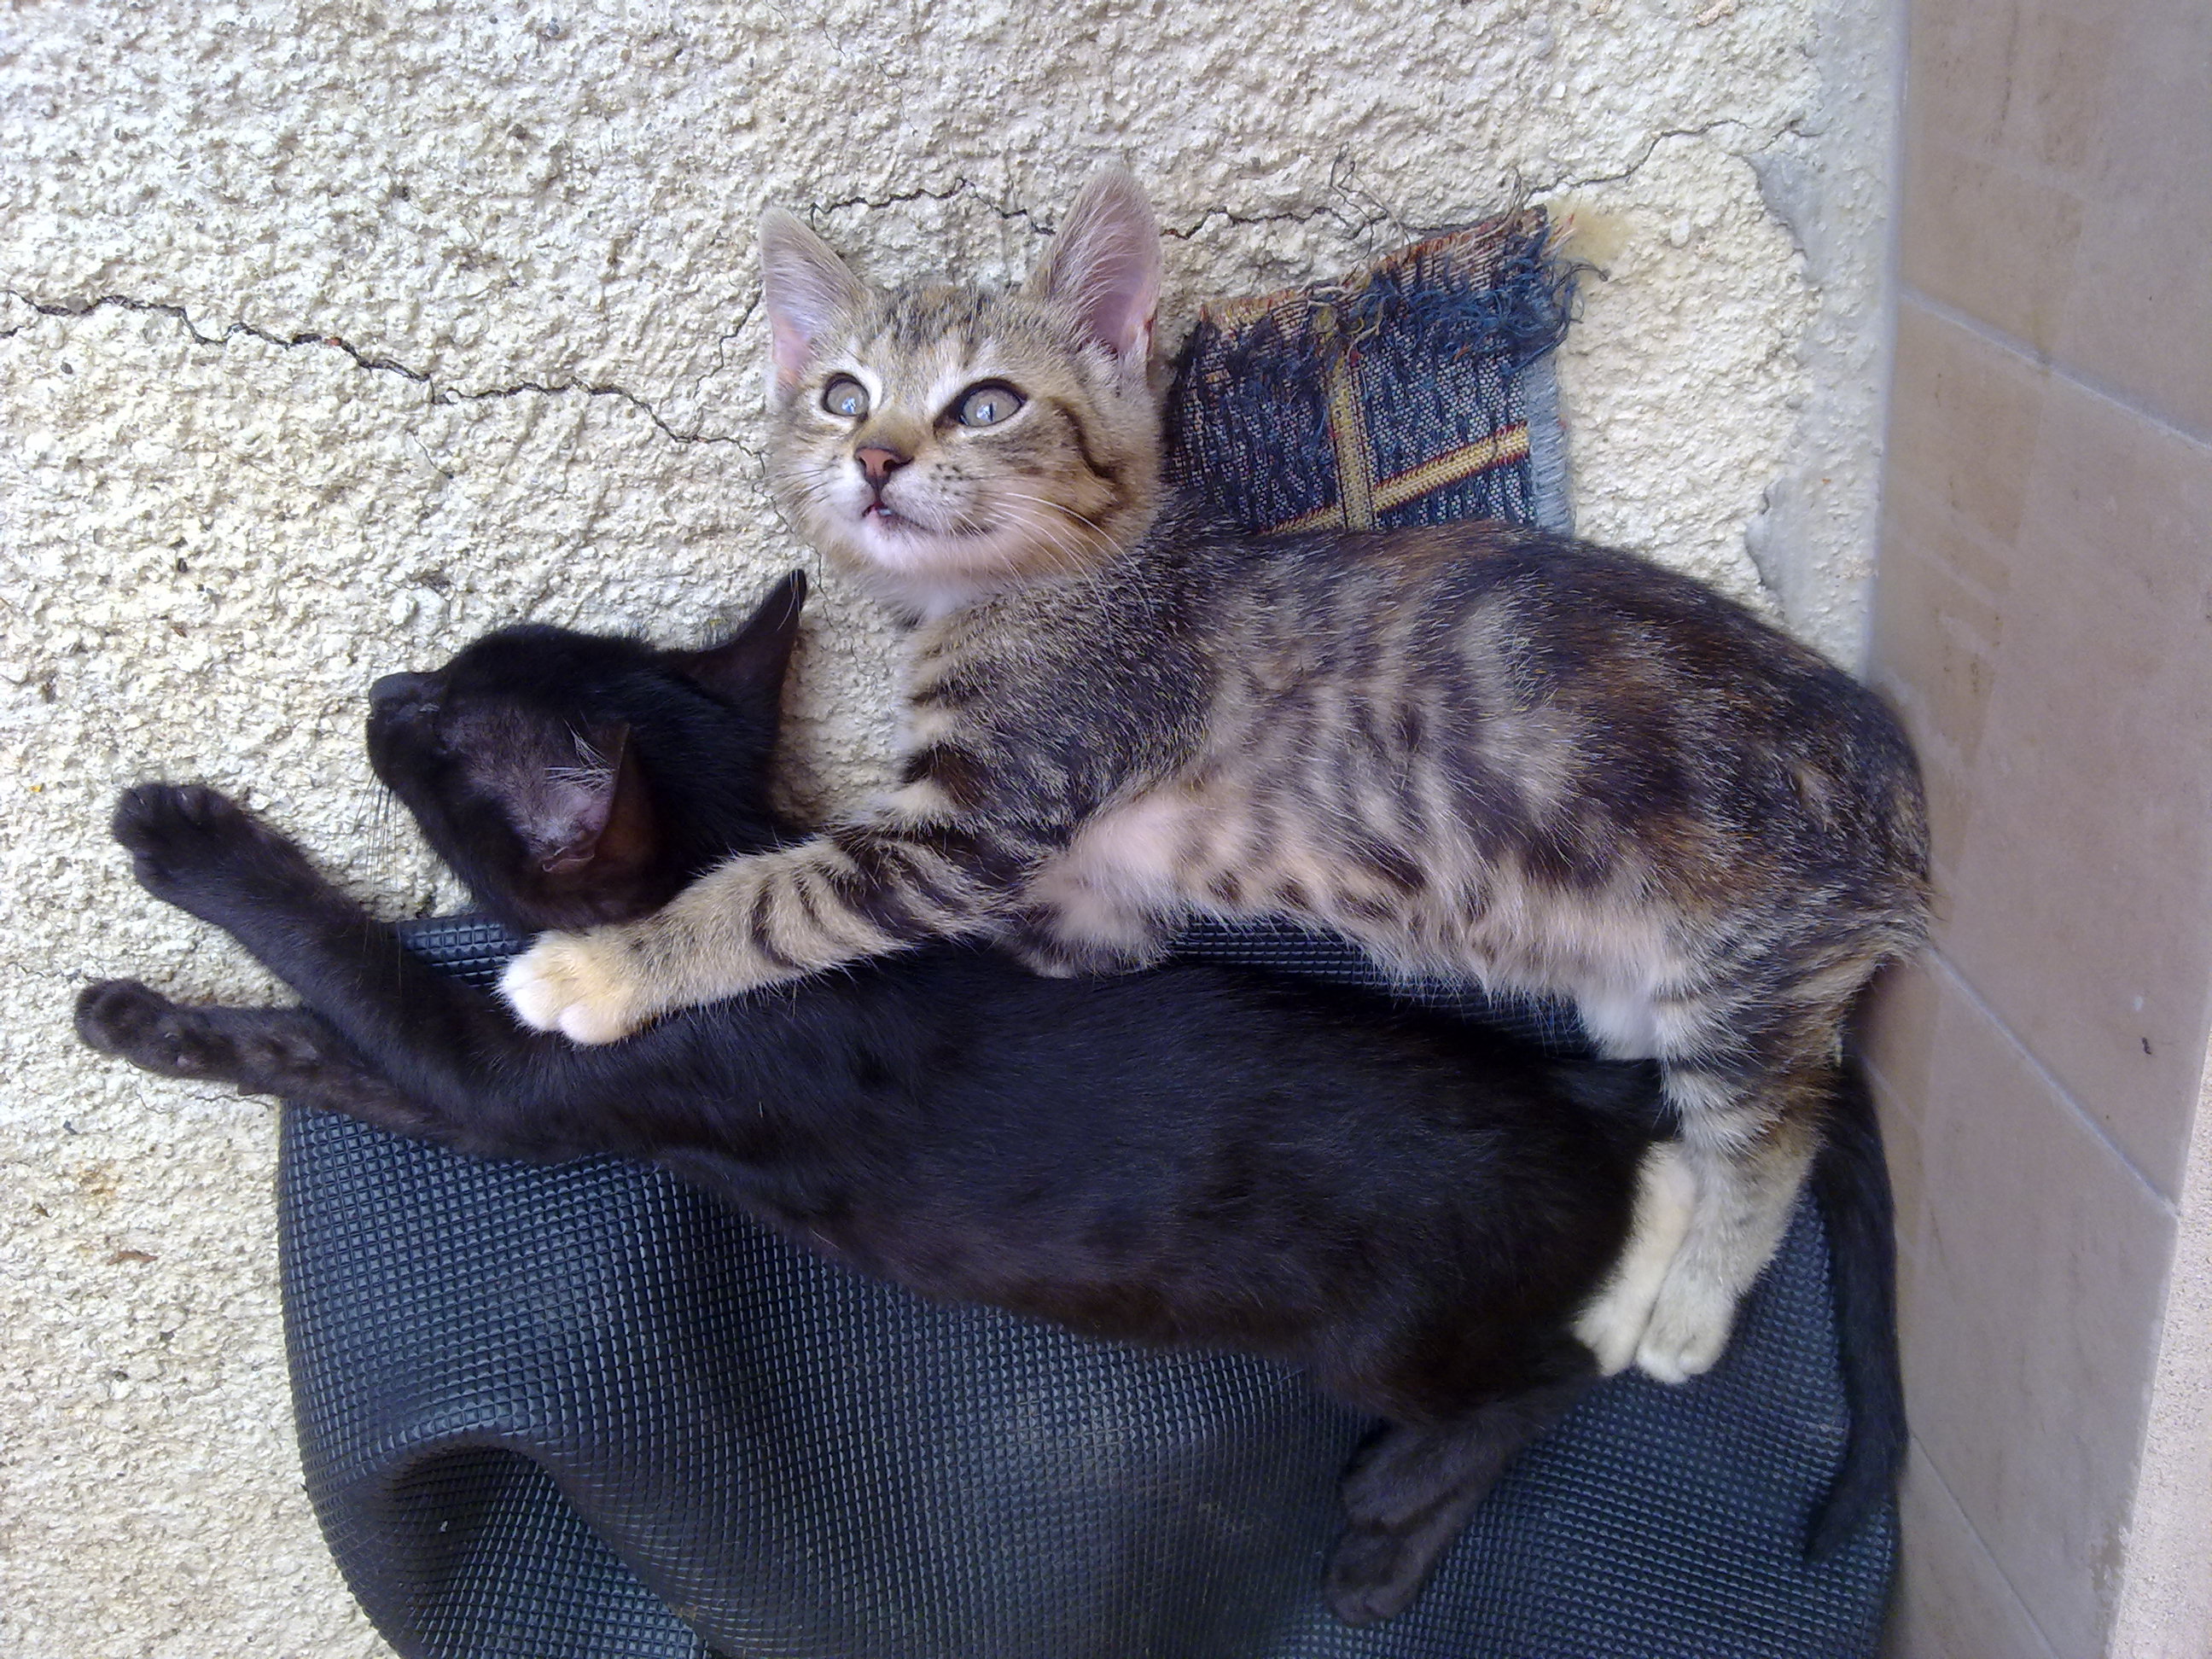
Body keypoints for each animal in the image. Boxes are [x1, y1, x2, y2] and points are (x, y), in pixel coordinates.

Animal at [78, 573, 1741, 1625]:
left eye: (430, 737)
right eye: (433, 685)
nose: (386, 684)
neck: (737, 866)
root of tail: (1575, 1089)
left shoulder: (511, 1068)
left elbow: (348, 964)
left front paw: (194, 843)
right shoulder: (488, 1085)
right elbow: (314, 1047)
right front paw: (145, 1022)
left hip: (1390, 1335)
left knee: (1556, 1376)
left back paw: (1394, 1531)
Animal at [494, 171, 1930, 1387]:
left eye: (987, 403)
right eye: (844, 394)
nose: (877, 459)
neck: (1027, 587)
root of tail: (1894, 775)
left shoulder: (983, 813)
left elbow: (779, 898)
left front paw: (607, 967)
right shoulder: (1094, 908)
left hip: (1739, 970)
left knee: (1770, 1135)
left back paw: (1690, 1306)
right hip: (1643, 985)